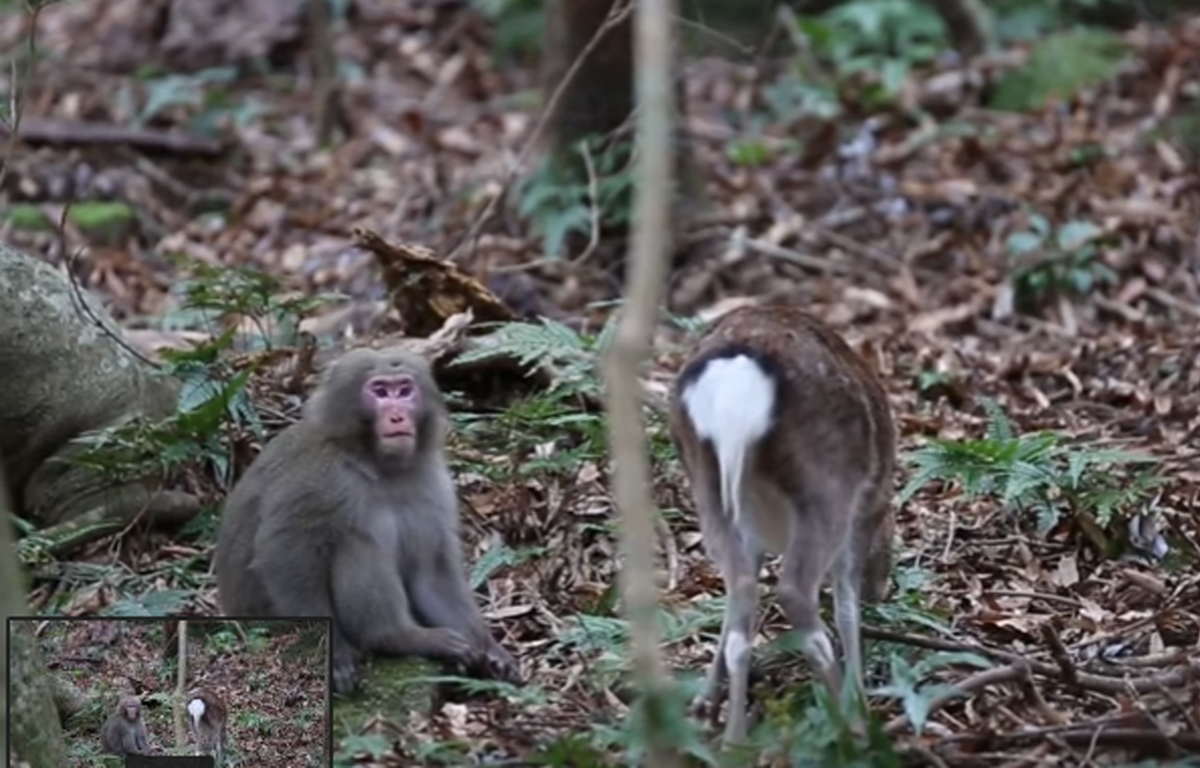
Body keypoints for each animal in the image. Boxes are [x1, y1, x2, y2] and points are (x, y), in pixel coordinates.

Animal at [214, 345, 520, 691]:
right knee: (357, 542)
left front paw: (489, 648)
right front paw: (334, 652)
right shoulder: (319, 477)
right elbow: (283, 551)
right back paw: (397, 636)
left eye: (404, 390)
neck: (375, 462)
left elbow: (431, 570)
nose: (397, 415)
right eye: (380, 391)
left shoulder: (432, 482)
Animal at [672, 304, 897, 744]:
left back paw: (733, 739)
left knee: (742, 599)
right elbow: (846, 609)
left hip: (707, 485)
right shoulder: (858, 521)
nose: (881, 591)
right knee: (795, 592)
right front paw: (859, 699)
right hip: (827, 487)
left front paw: (704, 705)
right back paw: (854, 727)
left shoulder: (753, 535)